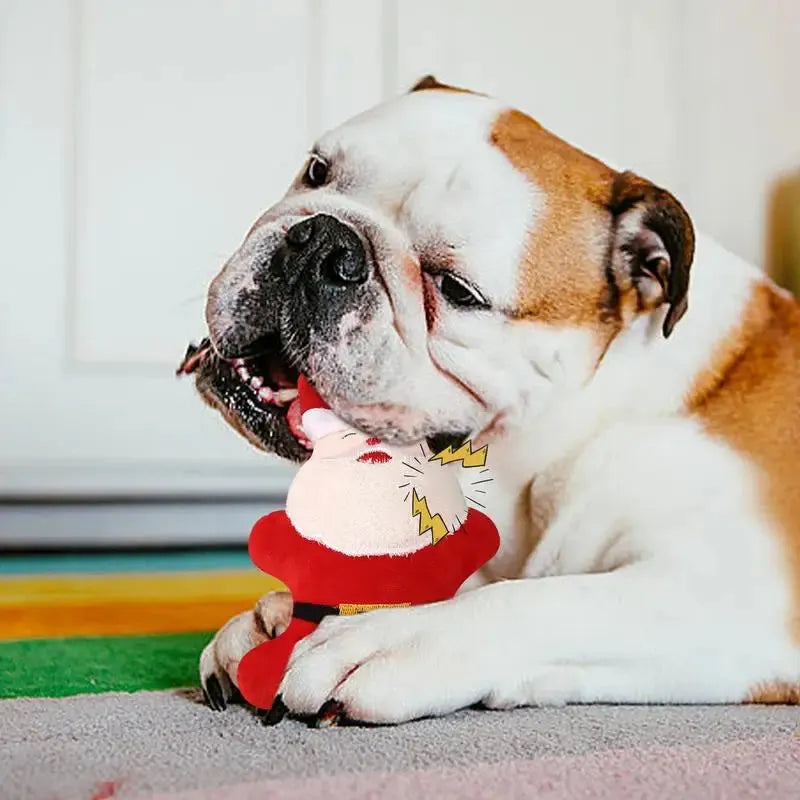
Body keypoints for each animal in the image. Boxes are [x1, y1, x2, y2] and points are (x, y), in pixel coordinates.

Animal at [184, 76, 800, 724]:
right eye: (316, 170)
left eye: (457, 290)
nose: (324, 242)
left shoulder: (735, 596)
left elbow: (538, 601)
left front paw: (381, 637)